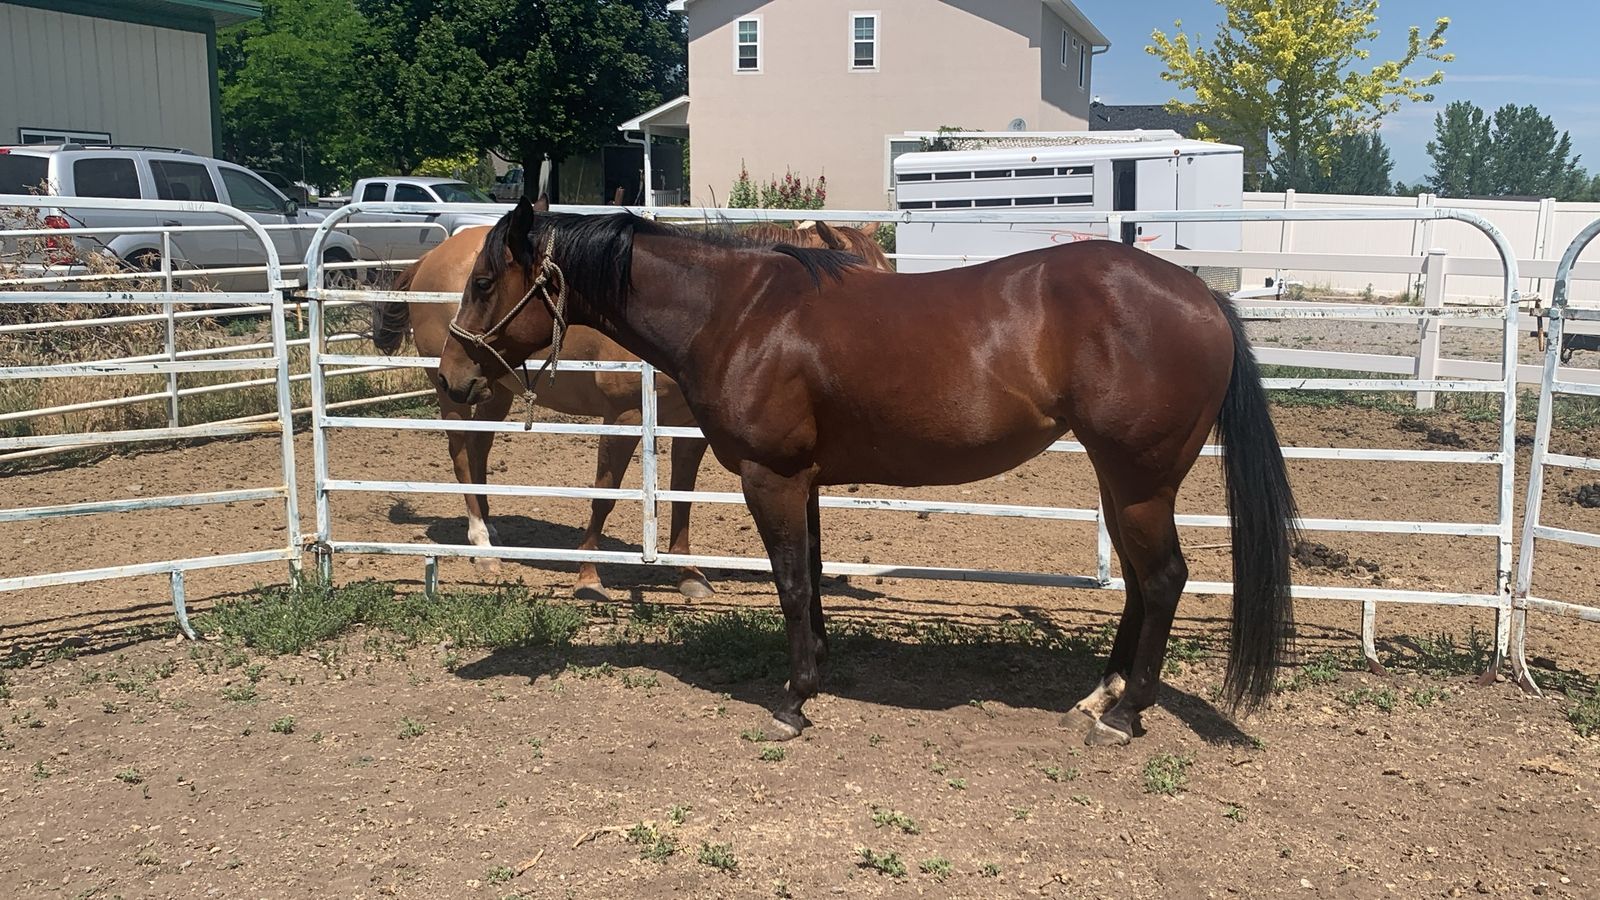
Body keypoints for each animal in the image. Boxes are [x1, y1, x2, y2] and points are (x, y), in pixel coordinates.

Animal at [372, 217, 890, 600]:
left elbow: (682, 494)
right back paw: (481, 546)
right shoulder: (622, 417)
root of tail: (429, 258)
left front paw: (690, 576)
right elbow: (604, 493)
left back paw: (491, 528)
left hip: (492, 389)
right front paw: (589, 578)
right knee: (462, 453)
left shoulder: (690, 428)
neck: (701, 313)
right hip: (454, 392)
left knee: (478, 451)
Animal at [437, 199, 1299, 747]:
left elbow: (789, 584)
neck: (739, 312)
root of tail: (1203, 299)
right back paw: (1101, 696)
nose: (453, 377)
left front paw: (792, 701)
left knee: (1164, 580)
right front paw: (817, 671)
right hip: (1122, 484)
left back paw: (1125, 717)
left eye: (483, 283)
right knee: (1139, 583)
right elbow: (813, 579)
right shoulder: (806, 481)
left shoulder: (772, 477)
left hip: (1141, 481)